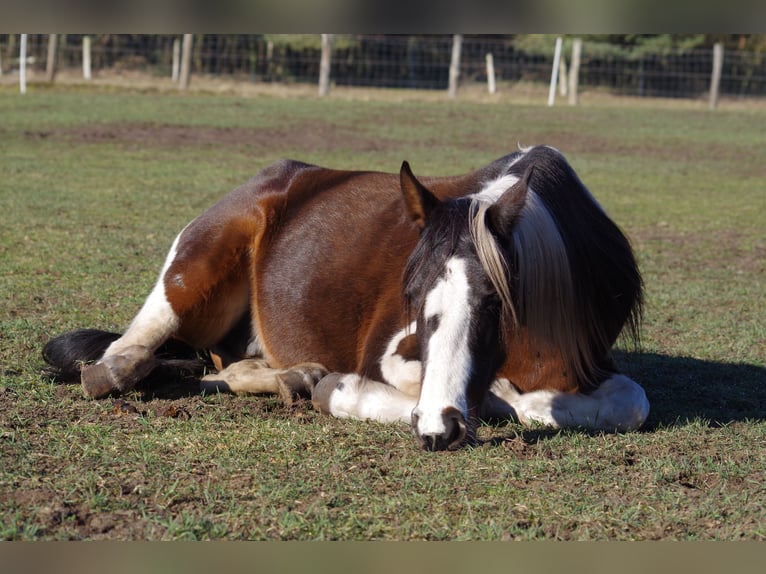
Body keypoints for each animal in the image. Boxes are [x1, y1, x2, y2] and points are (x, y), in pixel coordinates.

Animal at [42, 145, 652, 450]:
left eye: (495, 303)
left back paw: (290, 376)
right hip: (193, 269)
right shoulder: (391, 351)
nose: (439, 431)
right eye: (411, 291)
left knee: (224, 368)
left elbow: (629, 403)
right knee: (122, 358)